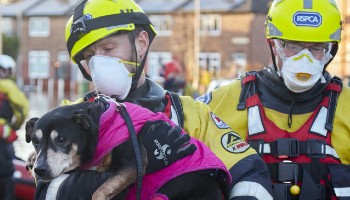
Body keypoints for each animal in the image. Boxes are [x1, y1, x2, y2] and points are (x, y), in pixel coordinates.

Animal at [23, 99, 227, 199]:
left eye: (61, 139)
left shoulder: (134, 163)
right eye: (35, 141)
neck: (102, 126)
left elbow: (99, 191)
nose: (40, 170)